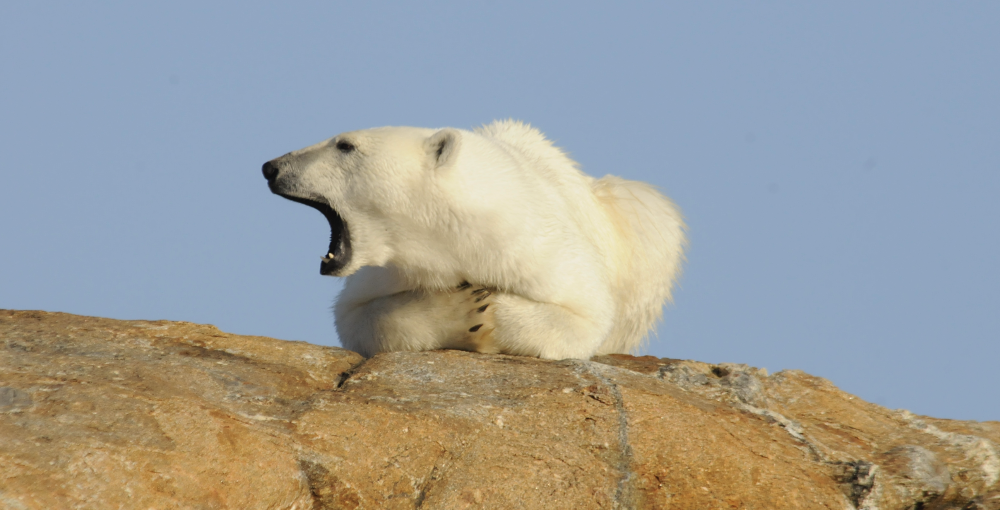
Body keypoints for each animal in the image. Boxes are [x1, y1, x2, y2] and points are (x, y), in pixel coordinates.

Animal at [262, 120, 686, 360]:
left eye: (344, 145)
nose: (271, 166)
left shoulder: (533, 246)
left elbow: (584, 315)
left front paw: (488, 313)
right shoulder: (386, 272)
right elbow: (357, 315)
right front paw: (461, 311)